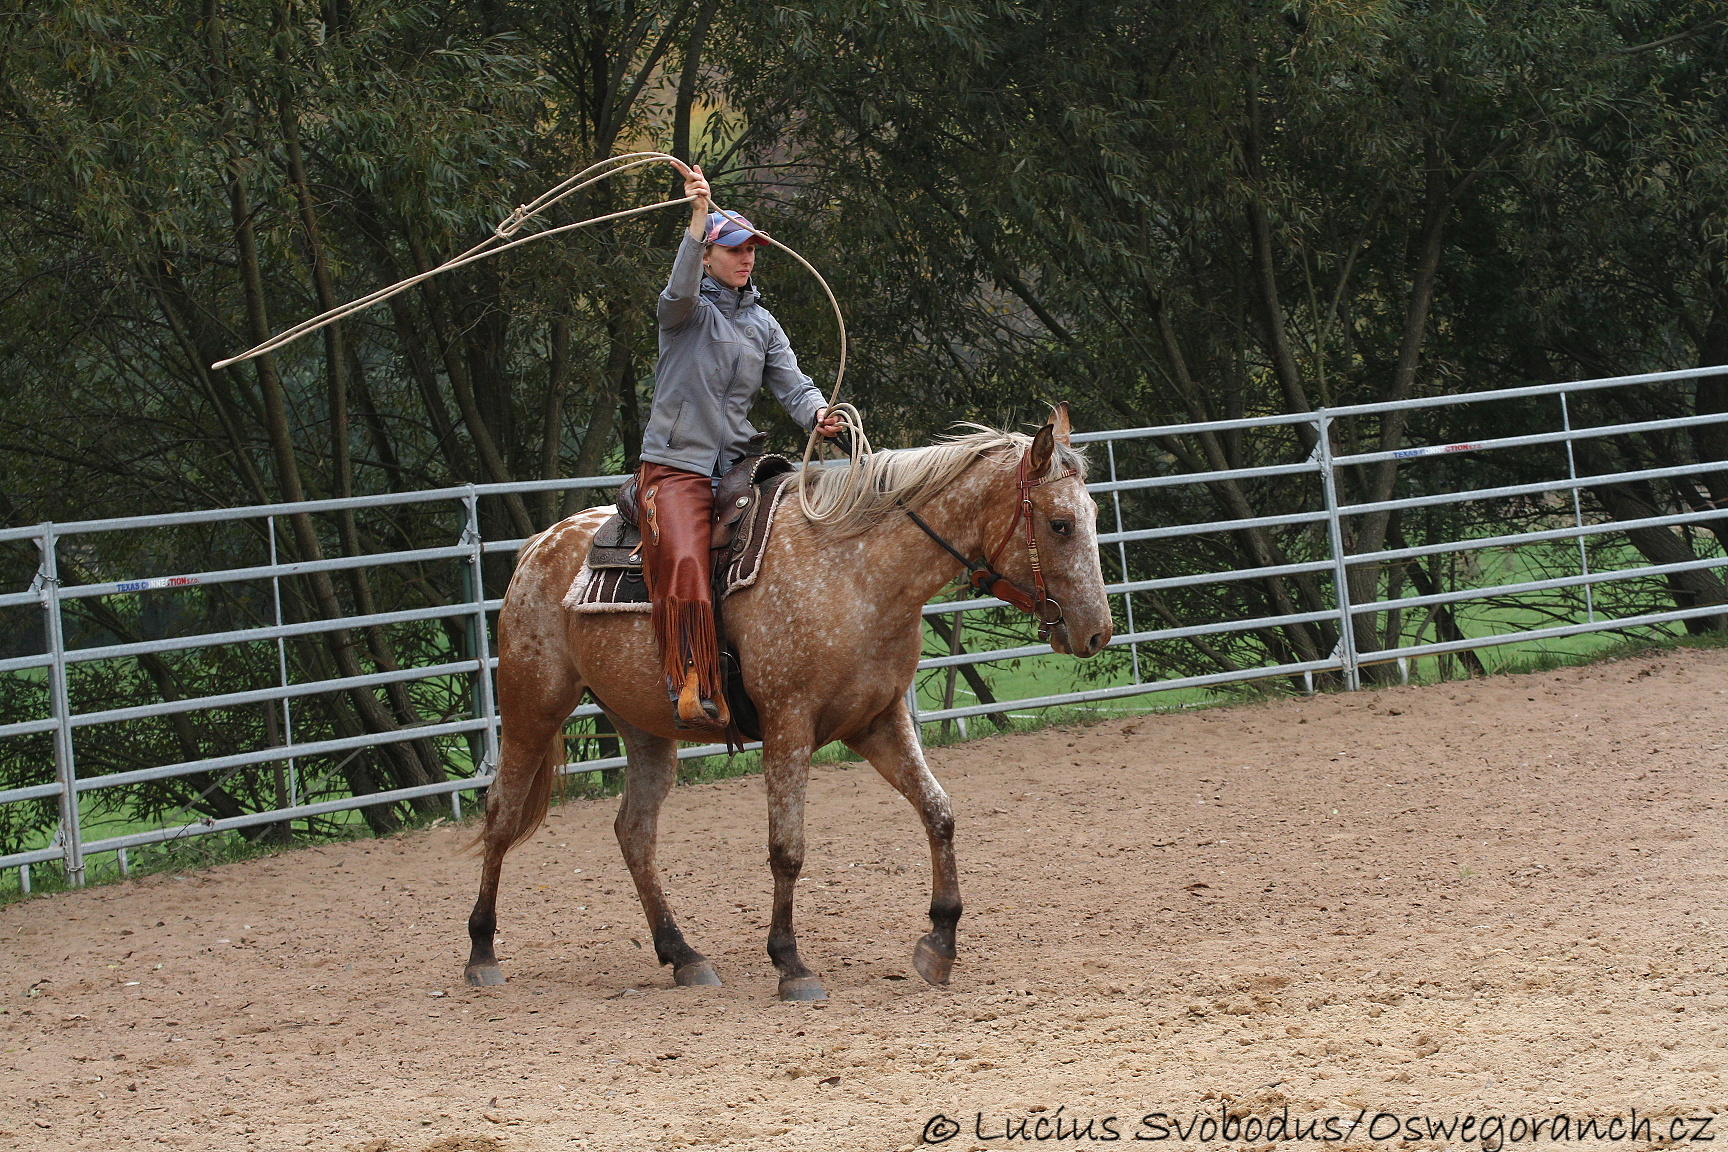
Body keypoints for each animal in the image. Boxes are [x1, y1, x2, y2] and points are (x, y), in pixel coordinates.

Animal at [463, 405, 1105, 1001]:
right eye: (1060, 523)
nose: (1098, 631)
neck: (856, 572)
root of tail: (539, 547)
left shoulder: (879, 721)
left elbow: (938, 811)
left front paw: (940, 941)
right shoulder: (788, 724)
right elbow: (786, 848)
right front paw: (790, 962)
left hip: (643, 726)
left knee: (634, 830)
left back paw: (682, 954)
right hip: (532, 706)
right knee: (501, 813)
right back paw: (482, 952)